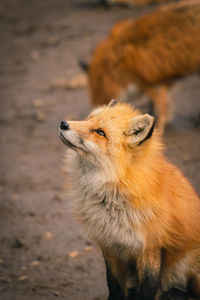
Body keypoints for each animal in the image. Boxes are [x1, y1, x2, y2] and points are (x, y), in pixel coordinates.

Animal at [59, 99, 200, 298]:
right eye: (88, 118)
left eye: (100, 133)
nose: (64, 124)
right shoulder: (109, 244)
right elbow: (114, 285)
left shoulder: (150, 248)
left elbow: (148, 289)